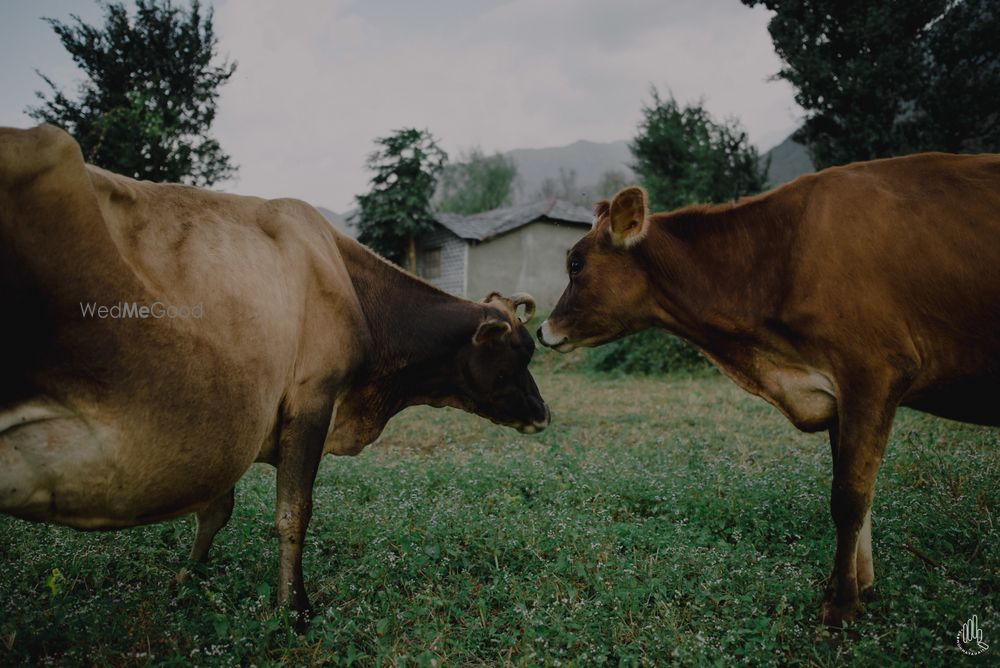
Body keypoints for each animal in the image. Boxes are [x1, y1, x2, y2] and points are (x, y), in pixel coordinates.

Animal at [0, 126, 548, 620]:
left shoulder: (233, 429)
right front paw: (294, 607)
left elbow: (217, 508)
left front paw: (189, 576)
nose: (544, 414)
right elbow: (293, 512)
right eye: (520, 352)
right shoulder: (311, 401)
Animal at [540, 155, 1000, 628]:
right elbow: (859, 495)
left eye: (576, 264)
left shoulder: (873, 372)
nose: (542, 330)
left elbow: (849, 498)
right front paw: (857, 587)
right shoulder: (838, 392)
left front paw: (839, 607)